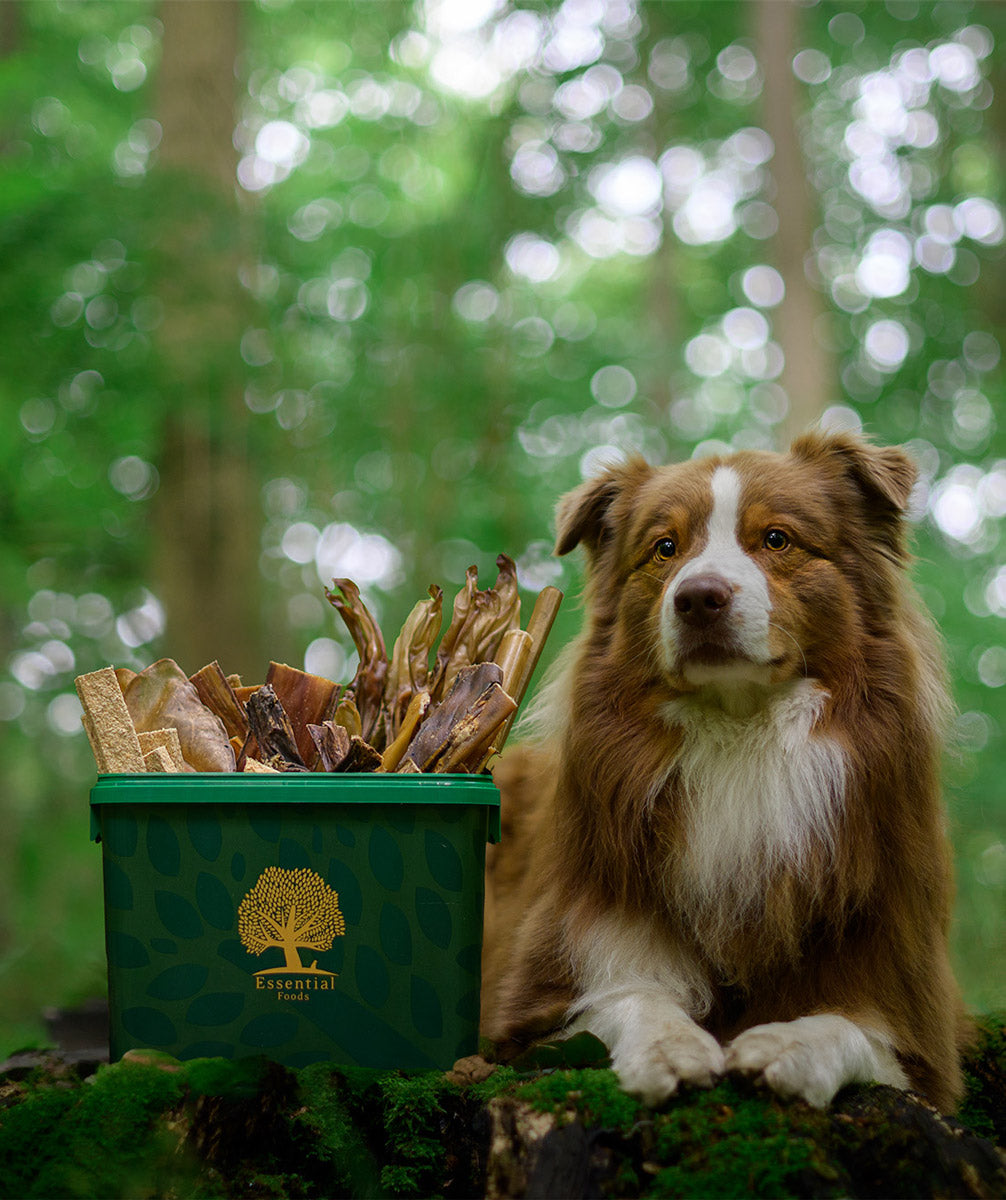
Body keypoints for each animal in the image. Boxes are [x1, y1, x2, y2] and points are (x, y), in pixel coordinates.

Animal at [484, 432, 974, 1113]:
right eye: (665, 547)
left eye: (776, 539)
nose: (698, 598)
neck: (742, 733)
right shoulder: (546, 979)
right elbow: (629, 994)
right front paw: (671, 1047)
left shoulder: (915, 1010)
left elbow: (851, 1027)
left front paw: (786, 1044)